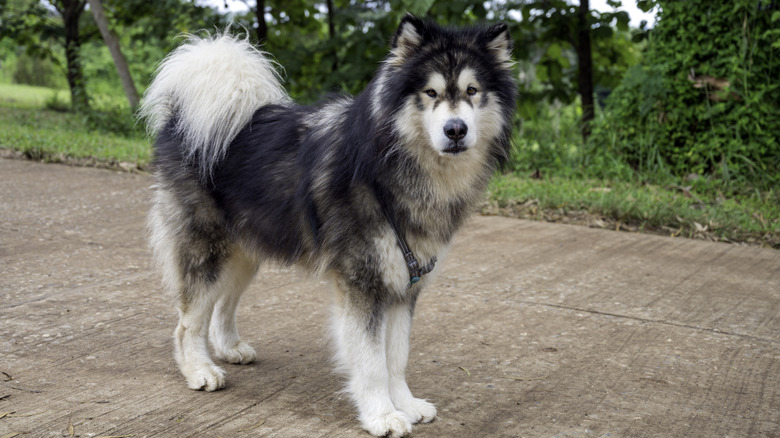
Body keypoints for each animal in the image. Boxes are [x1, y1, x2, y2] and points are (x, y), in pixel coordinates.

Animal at [140, 14, 516, 438]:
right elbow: (371, 361)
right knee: (188, 322)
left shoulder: (404, 285)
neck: (391, 163)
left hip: (245, 251)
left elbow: (396, 357)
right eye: (430, 92)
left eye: (472, 91)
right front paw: (381, 415)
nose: (456, 130)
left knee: (222, 303)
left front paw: (405, 403)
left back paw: (229, 347)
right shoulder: (363, 283)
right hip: (208, 250)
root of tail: (181, 120)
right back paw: (200, 370)